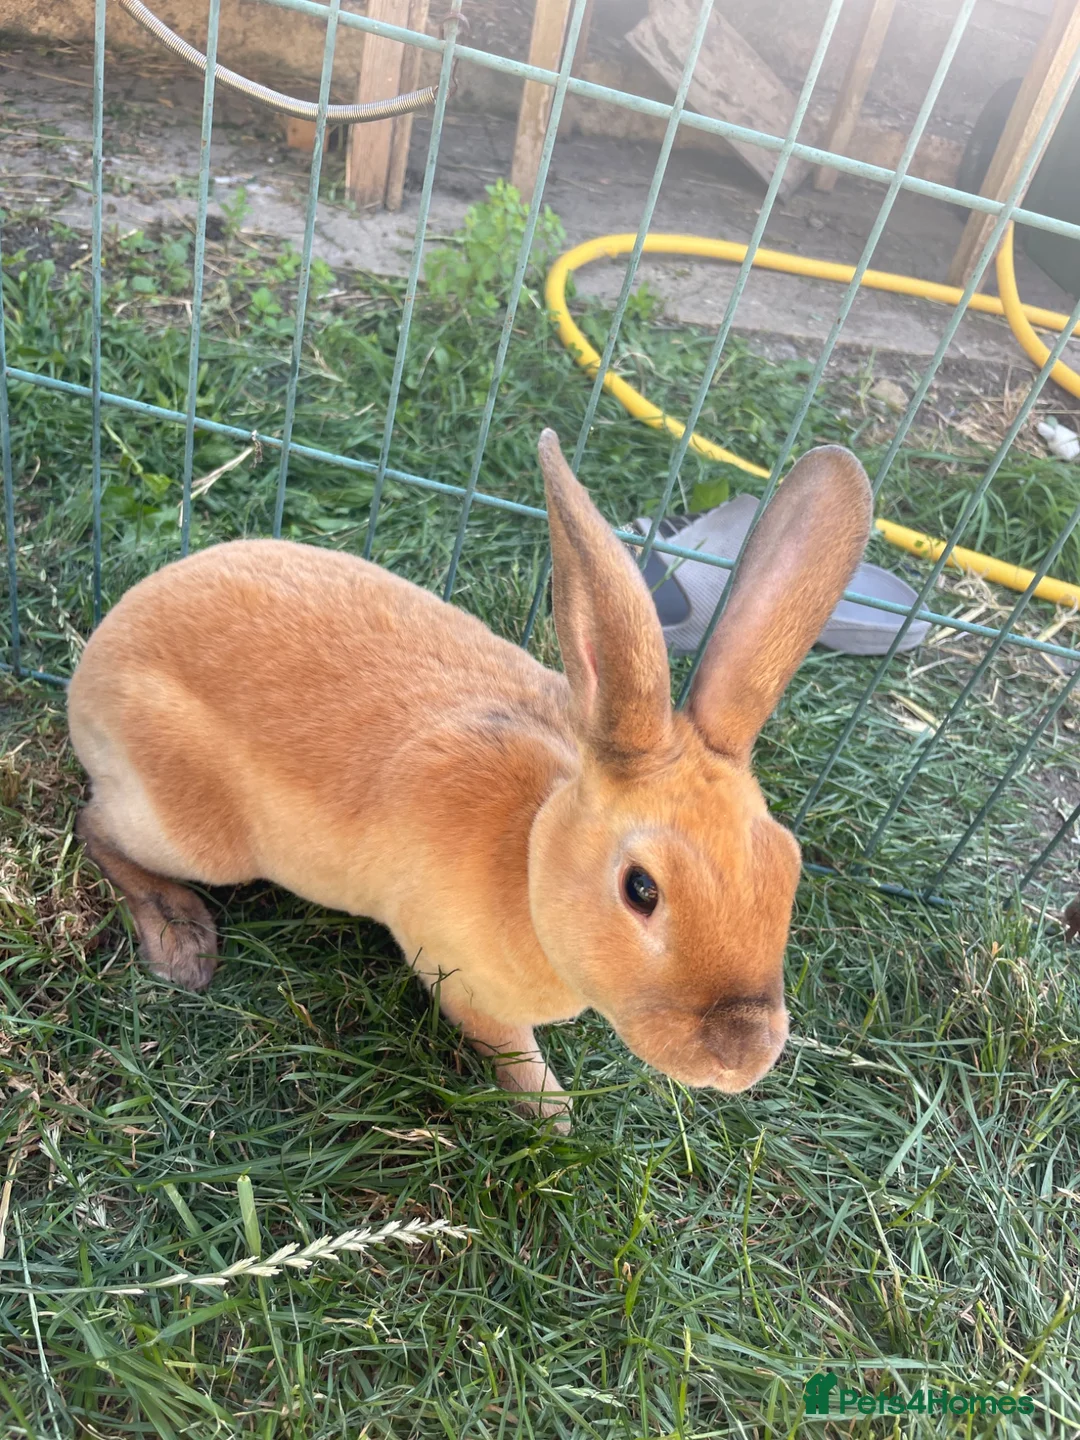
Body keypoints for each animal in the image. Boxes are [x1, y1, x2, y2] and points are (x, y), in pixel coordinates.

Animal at [67, 430, 871, 1123]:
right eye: (641, 889)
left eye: (787, 869)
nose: (742, 1056)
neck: (531, 856)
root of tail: (94, 665)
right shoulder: (462, 983)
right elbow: (508, 1051)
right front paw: (554, 1114)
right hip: (197, 834)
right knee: (96, 825)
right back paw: (180, 939)